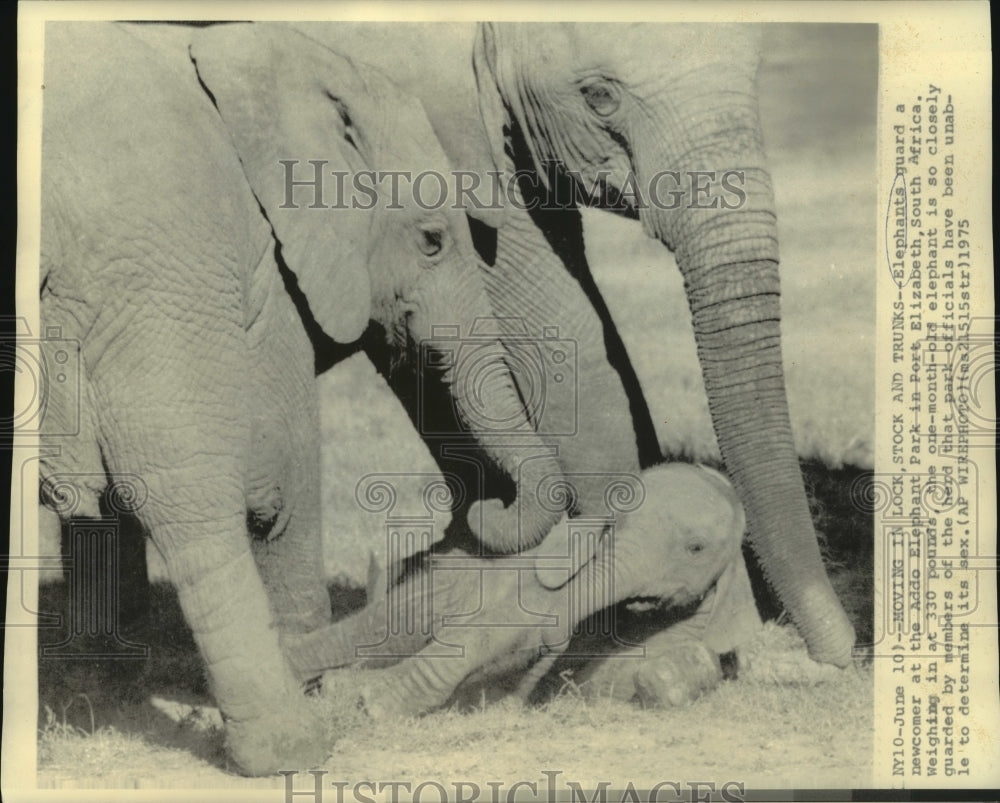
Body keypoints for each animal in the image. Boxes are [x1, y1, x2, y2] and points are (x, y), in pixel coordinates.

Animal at [41, 22, 564, 776]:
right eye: (432, 241)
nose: (470, 514)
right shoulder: (192, 259)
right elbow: (268, 477)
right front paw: (314, 689)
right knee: (182, 484)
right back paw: (292, 747)